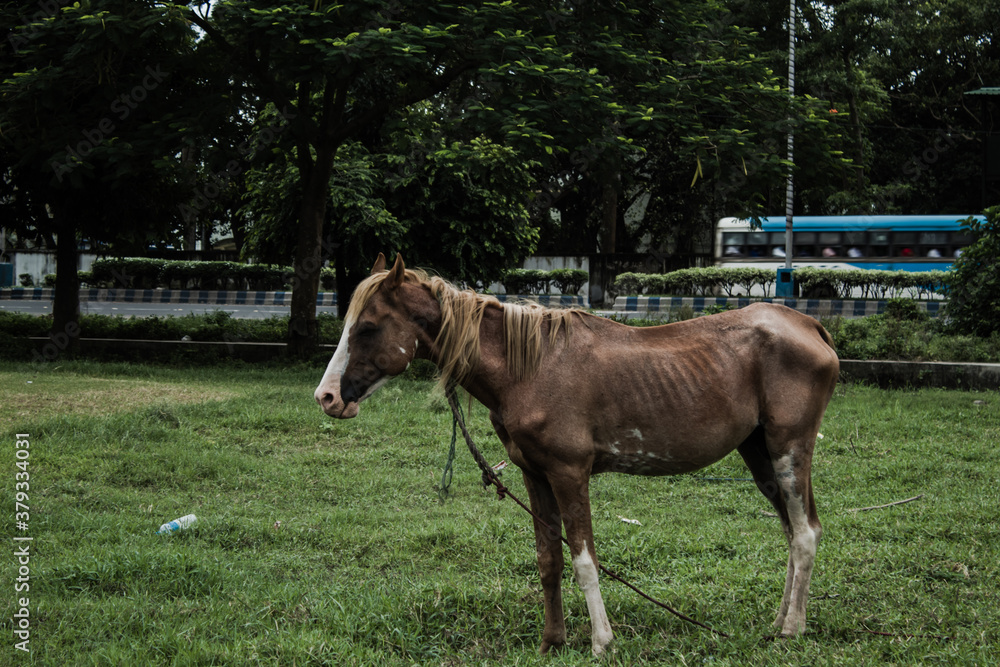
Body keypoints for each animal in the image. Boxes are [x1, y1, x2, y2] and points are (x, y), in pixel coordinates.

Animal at [316, 253, 840, 656]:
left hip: (789, 449)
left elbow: (584, 559)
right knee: (791, 533)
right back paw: (779, 622)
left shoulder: (570, 474)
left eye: (367, 327)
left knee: (805, 533)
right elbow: (548, 559)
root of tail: (808, 324)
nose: (327, 397)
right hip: (759, 454)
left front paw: (601, 642)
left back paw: (793, 628)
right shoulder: (535, 475)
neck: (529, 367)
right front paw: (553, 641)